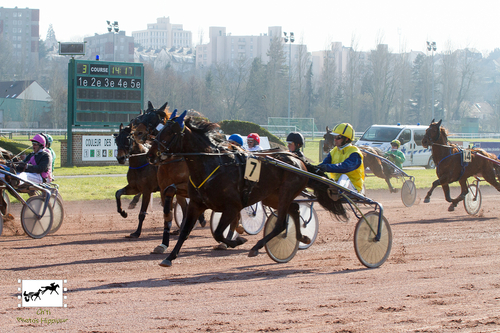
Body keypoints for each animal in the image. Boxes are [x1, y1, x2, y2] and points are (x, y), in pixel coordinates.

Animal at [131, 101, 207, 252]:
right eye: (141, 117)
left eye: (153, 118)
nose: (137, 133)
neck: (174, 160)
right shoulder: (164, 188)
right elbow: (168, 214)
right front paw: (163, 244)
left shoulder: (187, 187)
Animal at [146, 111, 346, 268]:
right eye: (160, 130)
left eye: (169, 132)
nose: (150, 154)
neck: (212, 165)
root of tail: (298, 160)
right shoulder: (197, 203)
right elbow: (185, 231)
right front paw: (169, 257)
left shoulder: (232, 206)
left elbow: (218, 233)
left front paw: (237, 240)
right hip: (271, 196)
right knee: (294, 209)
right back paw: (301, 237)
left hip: (285, 192)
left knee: (282, 222)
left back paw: (257, 247)